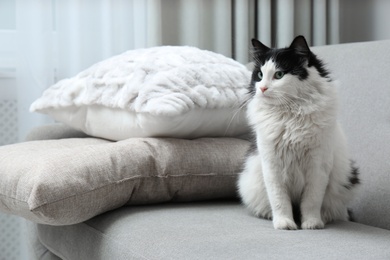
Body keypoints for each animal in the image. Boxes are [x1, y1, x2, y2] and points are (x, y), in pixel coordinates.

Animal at [239, 35, 362, 230]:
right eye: (259, 75)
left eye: (279, 74)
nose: (262, 88)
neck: (291, 117)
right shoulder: (271, 166)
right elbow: (280, 200)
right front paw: (284, 223)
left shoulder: (318, 166)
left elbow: (311, 201)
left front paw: (311, 223)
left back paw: (324, 218)